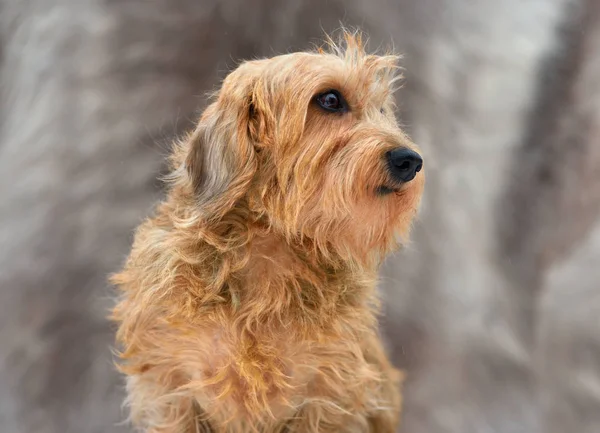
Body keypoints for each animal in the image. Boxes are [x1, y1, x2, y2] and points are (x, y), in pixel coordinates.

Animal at [110, 31, 424, 432]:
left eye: (382, 110)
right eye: (330, 99)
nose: (410, 161)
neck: (268, 255)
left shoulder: (327, 394)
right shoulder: (171, 389)